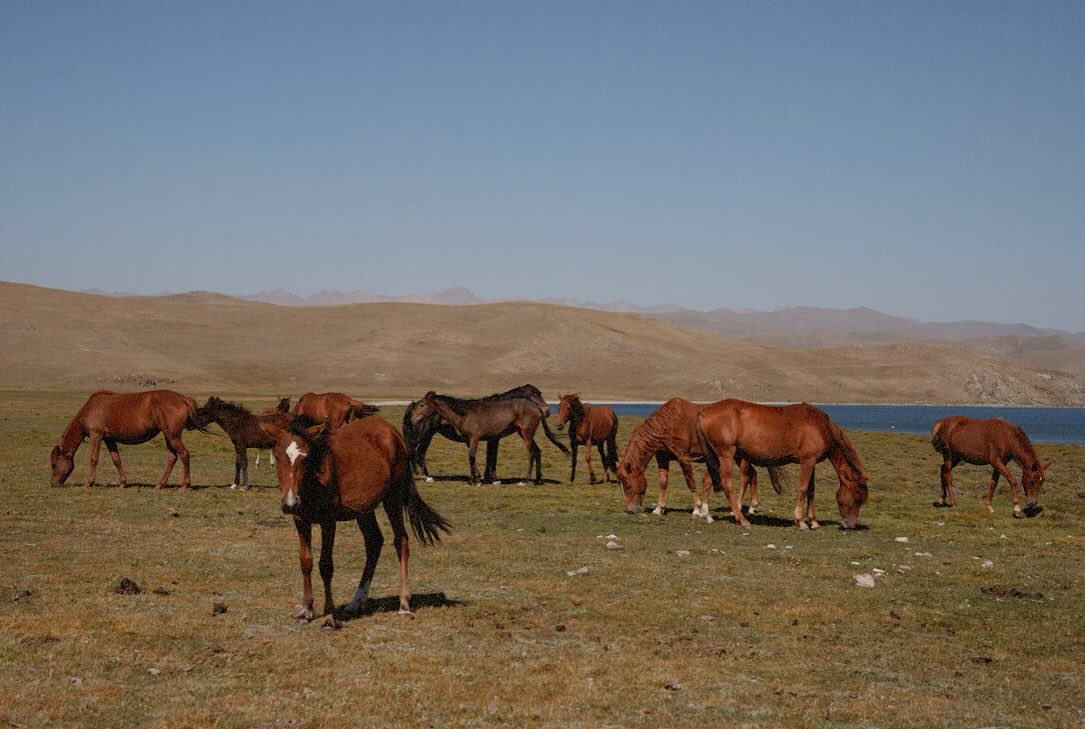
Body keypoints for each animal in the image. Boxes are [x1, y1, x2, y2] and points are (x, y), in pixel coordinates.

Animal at [50, 389, 208, 489]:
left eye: (54, 464)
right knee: (172, 457)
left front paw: (89, 483)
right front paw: (122, 483)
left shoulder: (96, 435)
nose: (52, 483)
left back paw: (184, 485)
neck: (91, 408)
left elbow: (94, 459)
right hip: (168, 435)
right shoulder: (109, 439)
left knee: (184, 454)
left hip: (173, 435)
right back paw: (160, 485)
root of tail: (183, 398)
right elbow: (116, 460)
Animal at [262, 416, 451, 628]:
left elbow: (325, 565)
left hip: (392, 498)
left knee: (401, 540)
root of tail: (393, 432)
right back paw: (355, 603)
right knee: (374, 542)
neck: (315, 478)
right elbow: (306, 562)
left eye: (305, 459)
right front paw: (307, 610)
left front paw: (329, 616)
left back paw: (403, 604)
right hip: (364, 510)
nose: (290, 503)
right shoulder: (300, 520)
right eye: (277, 457)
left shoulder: (329, 521)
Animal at [419, 390, 570, 485]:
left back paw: (525, 481)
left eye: (422, 404)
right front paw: (474, 479)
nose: (547, 410)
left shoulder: (476, 439)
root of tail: (536, 408)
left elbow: (475, 457)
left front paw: (479, 480)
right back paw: (537, 480)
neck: (464, 414)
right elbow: (473, 458)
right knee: (537, 451)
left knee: (531, 453)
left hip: (526, 433)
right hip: (523, 433)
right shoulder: (470, 440)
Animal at [615, 397, 778, 522]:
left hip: (739, 456)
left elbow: (690, 482)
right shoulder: (663, 458)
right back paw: (752, 506)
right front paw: (659, 508)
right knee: (753, 474)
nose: (630, 509)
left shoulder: (683, 458)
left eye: (628, 485)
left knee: (745, 476)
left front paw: (697, 509)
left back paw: (736, 509)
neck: (668, 423)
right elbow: (663, 482)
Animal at [695, 399, 869, 530]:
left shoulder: (811, 463)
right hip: (726, 455)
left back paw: (707, 514)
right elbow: (803, 489)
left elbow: (811, 490)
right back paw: (742, 519)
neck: (820, 425)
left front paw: (813, 521)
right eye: (857, 498)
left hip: (716, 457)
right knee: (727, 484)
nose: (849, 525)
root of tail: (705, 412)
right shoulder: (807, 461)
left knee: (708, 479)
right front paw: (800, 521)